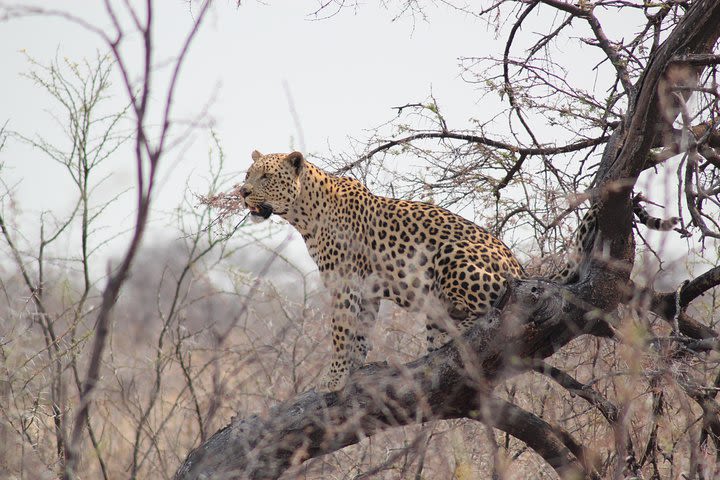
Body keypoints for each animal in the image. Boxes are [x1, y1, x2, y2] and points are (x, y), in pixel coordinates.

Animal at [239, 150, 676, 390]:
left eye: (266, 176)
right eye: (248, 175)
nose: (242, 191)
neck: (304, 212)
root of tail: (520, 266)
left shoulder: (345, 284)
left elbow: (341, 332)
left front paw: (333, 378)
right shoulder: (364, 288)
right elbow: (359, 331)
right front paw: (354, 369)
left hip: (452, 261)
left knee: (492, 311)